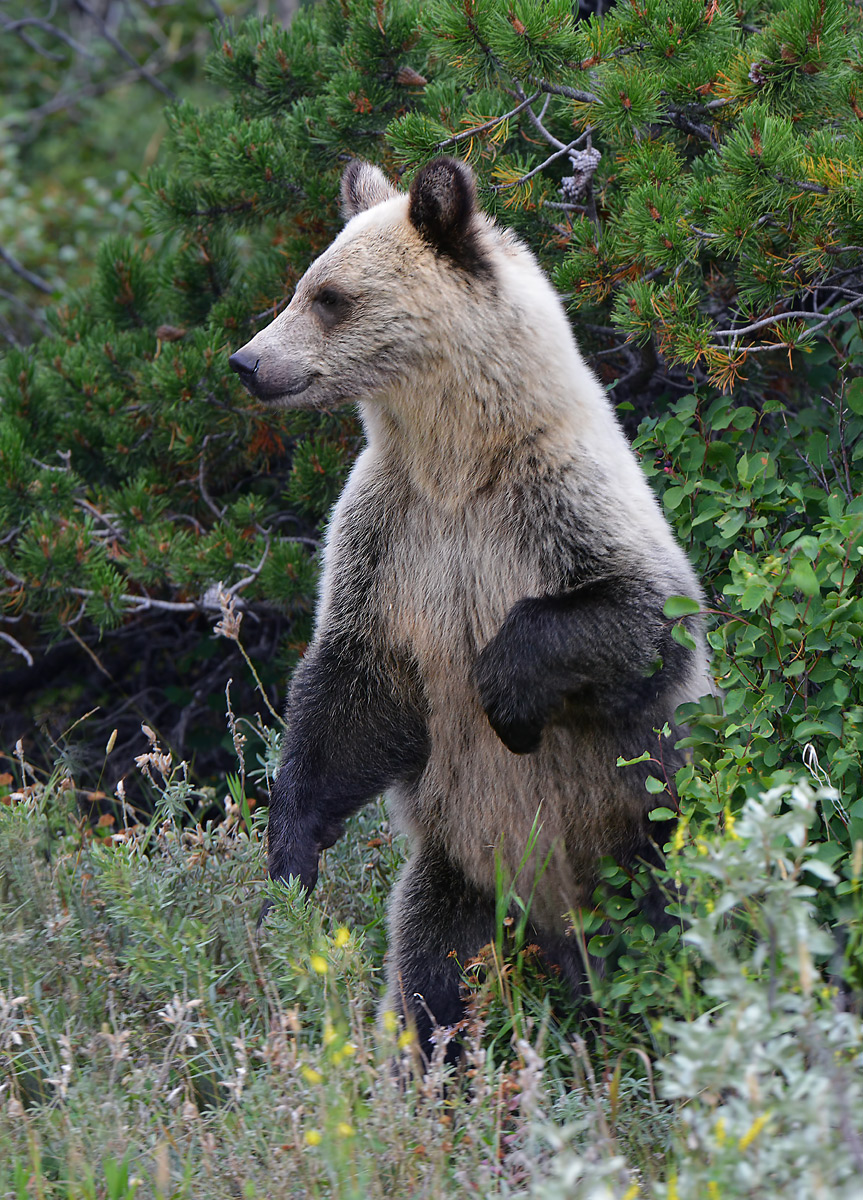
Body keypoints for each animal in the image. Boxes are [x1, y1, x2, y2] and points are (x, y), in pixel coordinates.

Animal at [229, 156, 712, 1060]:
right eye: (304, 283)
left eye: (330, 297)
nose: (247, 361)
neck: (457, 462)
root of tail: (557, 927)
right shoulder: (389, 538)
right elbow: (350, 689)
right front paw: (291, 851)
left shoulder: (557, 506)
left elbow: (642, 623)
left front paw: (506, 699)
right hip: (459, 872)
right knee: (433, 979)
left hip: (642, 837)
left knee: (668, 938)